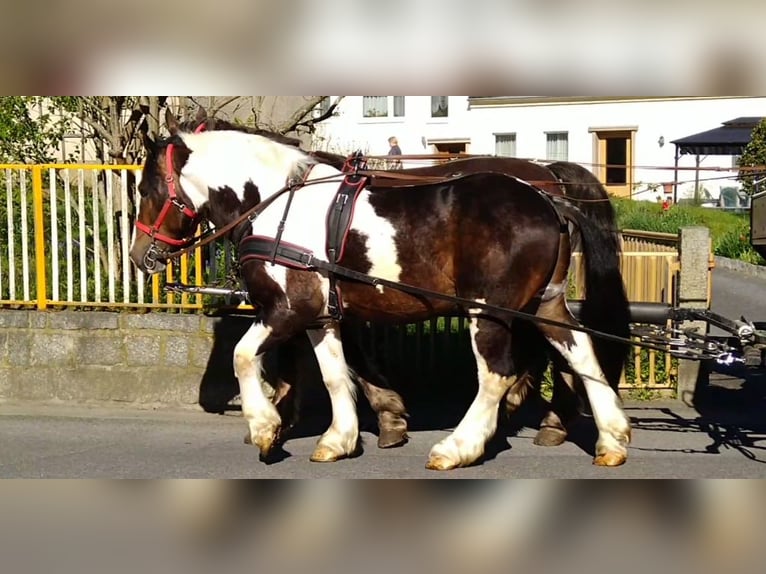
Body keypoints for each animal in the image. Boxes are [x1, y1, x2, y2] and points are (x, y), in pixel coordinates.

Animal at [129, 110, 632, 470]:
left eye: (147, 187)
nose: (139, 256)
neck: (277, 202)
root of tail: (549, 198)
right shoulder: (322, 316)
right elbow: (335, 374)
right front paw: (340, 439)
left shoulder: (288, 309)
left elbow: (242, 356)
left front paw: (265, 426)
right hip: (545, 304)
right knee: (582, 353)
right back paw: (611, 438)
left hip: (488, 311)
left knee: (497, 376)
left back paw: (459, 446)